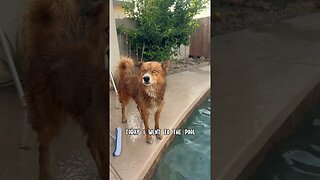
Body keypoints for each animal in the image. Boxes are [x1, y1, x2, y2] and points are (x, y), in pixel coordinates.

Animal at [24, 0, 109, 179]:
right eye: (106, 30)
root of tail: (44, 50)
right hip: (49, 119)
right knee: (43, 148)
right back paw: (45, 175)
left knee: (90, 142)